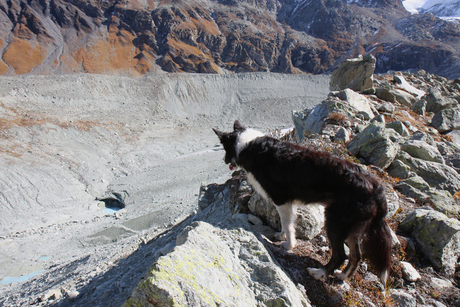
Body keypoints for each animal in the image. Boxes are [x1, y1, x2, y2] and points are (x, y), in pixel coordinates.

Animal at [215, 120, 392, 284]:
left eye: (224, 148)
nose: (223, 160)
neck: (249, 146)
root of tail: (375, 187)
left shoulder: (281, 199)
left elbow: (287, 224)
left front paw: (288, 245)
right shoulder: (288, 203)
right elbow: (286, 223)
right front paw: (281, 236)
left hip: (336, 221)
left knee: (341, 255)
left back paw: (319, 273)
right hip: (353, 227)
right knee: (356, 256)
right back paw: (342, 275)